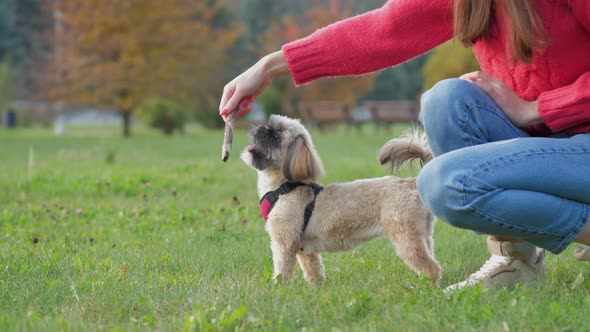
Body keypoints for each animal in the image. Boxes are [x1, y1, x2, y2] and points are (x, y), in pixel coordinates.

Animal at [242, 115, 444, 284]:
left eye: (275, 136)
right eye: (269, 125)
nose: (260, 127)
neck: (285, 188)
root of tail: (412, 182)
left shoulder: (284, 242)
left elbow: (282, 270)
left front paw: (278, 287)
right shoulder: (304, 249)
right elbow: (313, 270)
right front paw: (316, 287)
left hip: (405, 236)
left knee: (431, 267)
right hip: (423, 235)